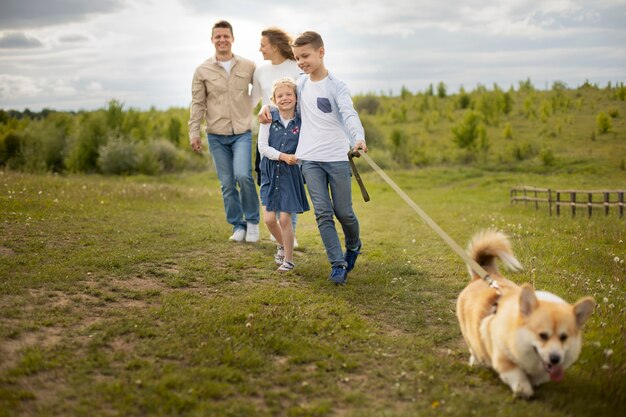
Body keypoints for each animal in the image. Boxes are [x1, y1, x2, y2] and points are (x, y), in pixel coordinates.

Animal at [454, 231, 596, 396]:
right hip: (468, 332)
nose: (555, 359)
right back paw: (478, 361)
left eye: (564, 337)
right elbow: (517, 375)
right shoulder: (504, 359)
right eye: (542, 335)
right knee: (474, 347)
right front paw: (524, 390)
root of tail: (484, 275)